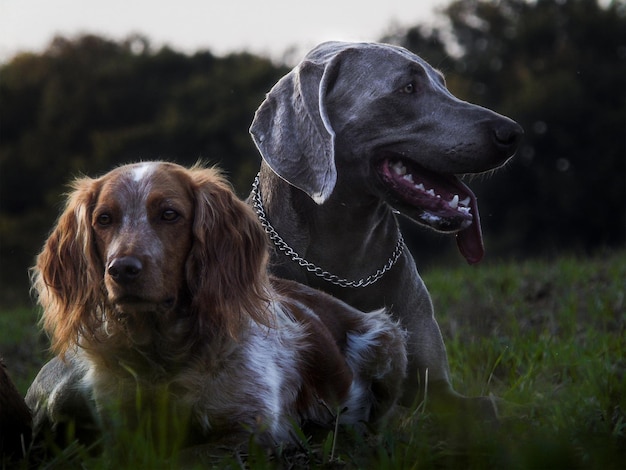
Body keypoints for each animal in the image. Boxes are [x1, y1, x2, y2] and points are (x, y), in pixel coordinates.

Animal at [25, 162, 404, 448]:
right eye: (104, 219)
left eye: (169, 214)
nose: (121, 269)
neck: (161, 355)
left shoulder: (250, 428)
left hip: (386, 340)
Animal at [249, 40, 520, 414]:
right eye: (408, 87)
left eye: (443, 83)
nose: (513, 133)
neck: (346, 266)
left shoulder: (436, 388)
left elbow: (487, 407)